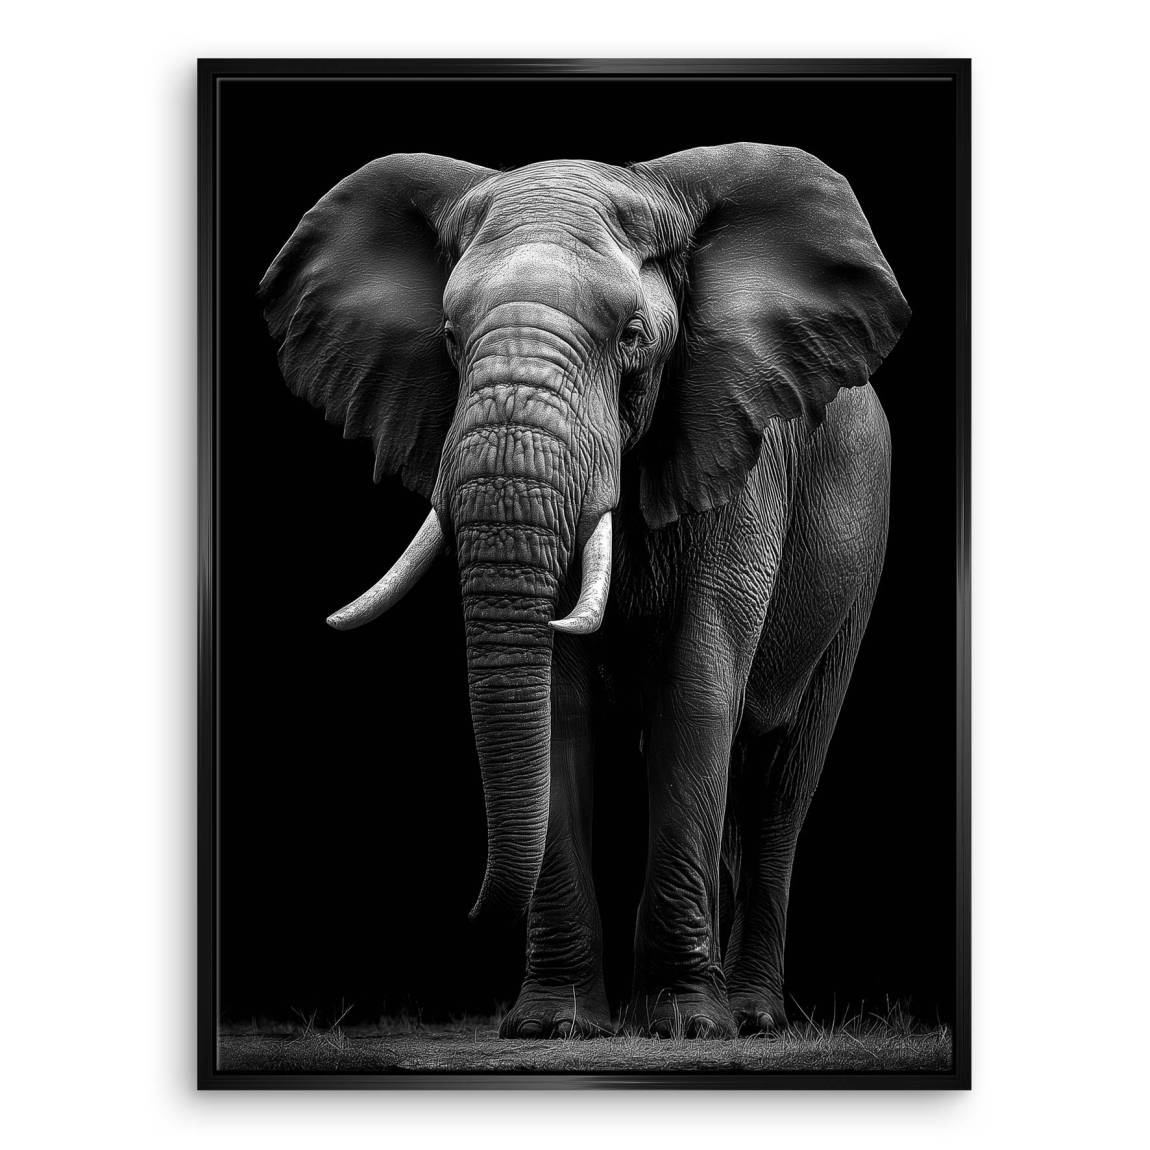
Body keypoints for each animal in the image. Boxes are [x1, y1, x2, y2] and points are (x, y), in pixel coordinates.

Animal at [260, 142, 909, 1039]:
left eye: (633, 337)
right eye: (450, 338)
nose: (464, 912)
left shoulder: (737, 452)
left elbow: (697, 687)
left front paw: (686, 1027)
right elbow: (558, 706)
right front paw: (553, 1025)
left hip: (861, 549)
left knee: (781, 777)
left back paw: (749, 1015)